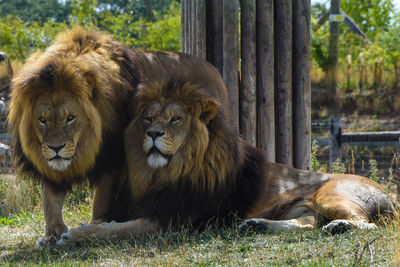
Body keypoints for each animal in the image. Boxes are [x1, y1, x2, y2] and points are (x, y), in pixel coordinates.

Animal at [8, 27, 228, 247]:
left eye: (70, 118)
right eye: (42, 120)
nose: (55, 148)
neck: (87, 144)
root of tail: (213, 69)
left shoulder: (113, 160)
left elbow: (99, 201)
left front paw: (92, 228)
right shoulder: (47, 163)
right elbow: (50, 201)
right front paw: (51, 236)